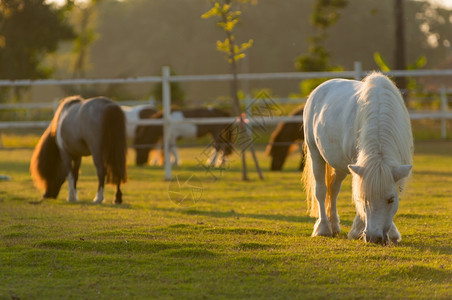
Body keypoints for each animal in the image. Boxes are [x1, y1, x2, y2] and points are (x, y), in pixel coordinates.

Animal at [304, 72, 414, 244]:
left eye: (391, 199)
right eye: (364, 198)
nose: (374, 237)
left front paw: (392, 234)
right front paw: (357, 231)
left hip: (340, 164)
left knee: (333, 189)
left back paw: (334, 225)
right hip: (315, 153)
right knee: (321, 191)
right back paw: (323, 228)